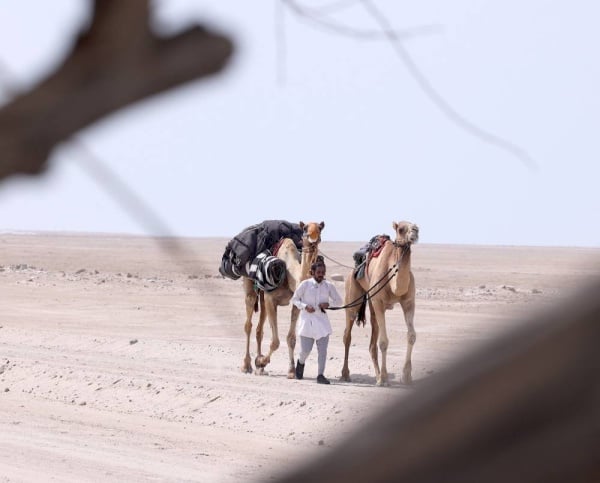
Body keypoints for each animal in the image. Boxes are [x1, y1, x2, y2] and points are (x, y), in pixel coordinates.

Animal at [240, 222, 326, 378]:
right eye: (305, 228)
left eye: (320, 228)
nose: (313, 236)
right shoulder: (271, 299)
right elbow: (275, 342)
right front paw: (260, 362)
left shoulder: (297, 302)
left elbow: (291, 339)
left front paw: (291, 371)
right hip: (250, 287)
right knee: (248, 325)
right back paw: (246, 365)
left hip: (262, 298)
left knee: (259, 329)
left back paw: (260, 368)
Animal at [340, 222, 420, 386]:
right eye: (401, 229)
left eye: (416, 226)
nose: (415, 231)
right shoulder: (379, 302)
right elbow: (383, 342)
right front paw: (384, 379)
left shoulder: (408, 302)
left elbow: (411, 336)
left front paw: (406, 376)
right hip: (353, 295)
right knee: (347, 335)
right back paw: (346, 374)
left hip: (371, 303)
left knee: (372, 341)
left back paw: (377, 376)